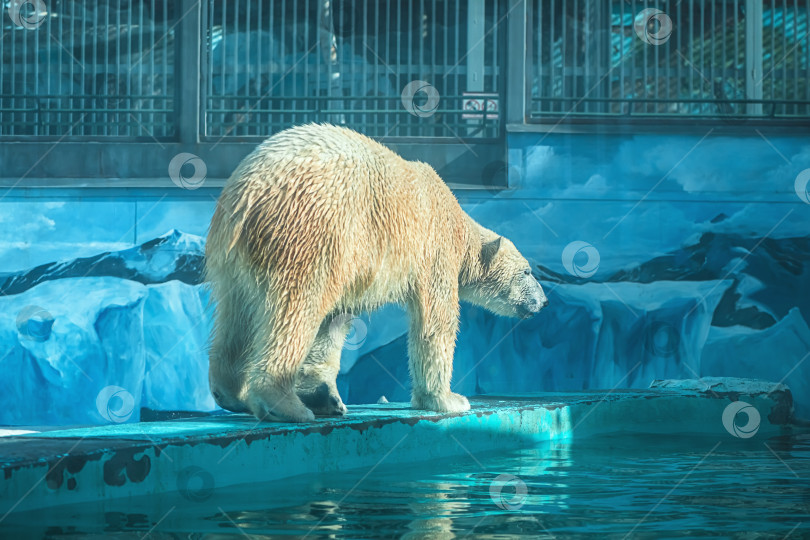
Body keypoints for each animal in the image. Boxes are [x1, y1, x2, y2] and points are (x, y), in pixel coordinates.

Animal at [205, 123, 548, 422]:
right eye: (528, 272)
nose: (543, 301)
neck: (460, 228)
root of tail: (250, 189)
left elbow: (333, 323)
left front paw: (323, 396)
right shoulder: (434, 249)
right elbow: (436, 322)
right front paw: (448, 399)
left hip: (236, 254)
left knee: (237, 314)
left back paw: (231, 393)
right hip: (310, 230)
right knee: (297, 308)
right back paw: (283, 405)